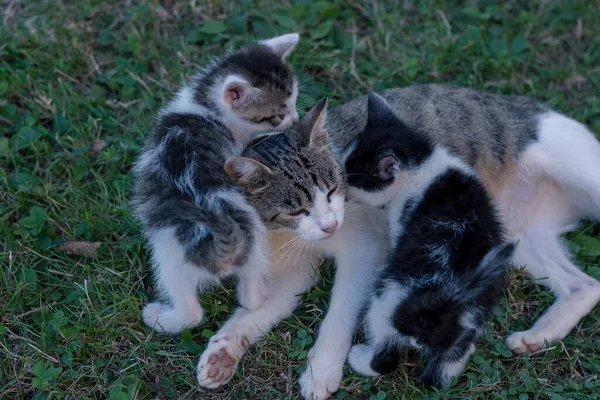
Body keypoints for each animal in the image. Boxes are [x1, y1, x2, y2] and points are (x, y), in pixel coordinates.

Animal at [131, 33, 300, 334]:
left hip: (169, 251)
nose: (296, 119)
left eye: (294, 102)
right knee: (251, 298)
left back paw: (158, 318)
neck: (206, 107)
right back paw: (255, 295)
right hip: (254, 240)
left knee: (191, 312)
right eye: (277, 115)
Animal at [342, 94, 516, 388]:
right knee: (451, 357)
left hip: (388, 298)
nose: (339, 190)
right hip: (474, 314)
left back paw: (362, 358)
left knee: (386, 355)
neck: (421, 164)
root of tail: (443, 302)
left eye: (352, 181)